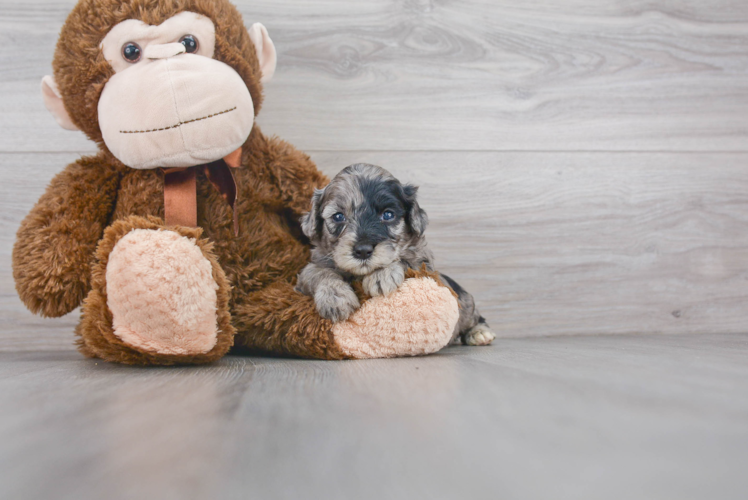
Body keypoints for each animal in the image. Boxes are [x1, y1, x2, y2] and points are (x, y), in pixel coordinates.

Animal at [296, 164, 494, 348]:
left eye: (388, 214)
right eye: (338, 217)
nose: (363, 250)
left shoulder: (425, 265)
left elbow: (405, 261)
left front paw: (381, 275)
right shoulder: (308, 271)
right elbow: (317, 272)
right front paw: (335, 297)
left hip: (465, 302)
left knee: (475, 317)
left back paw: (479, 333)